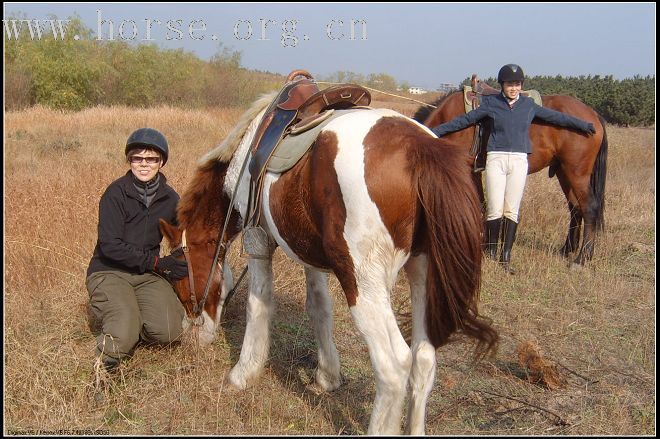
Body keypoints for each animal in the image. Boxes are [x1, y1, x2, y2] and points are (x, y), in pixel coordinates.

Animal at [160, 91, 498, 434]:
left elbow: (258, 304)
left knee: (393, 366)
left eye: (179, 283)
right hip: (422, 275)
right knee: (424, 357)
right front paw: (328, 376)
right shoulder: (308, 251)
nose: (191, 338)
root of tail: (420, 148)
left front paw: (243, 373)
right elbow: (319, 306)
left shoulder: (258, 240)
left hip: (363, 284)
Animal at [412, 91, 608, 266]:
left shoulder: (468, 170)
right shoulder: (475, 171)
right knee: (575, 208)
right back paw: (567, 249)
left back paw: (583, 257)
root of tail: (593, 116)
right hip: (564, 172)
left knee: (589, 208)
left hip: (577, 174)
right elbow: (482, 205)